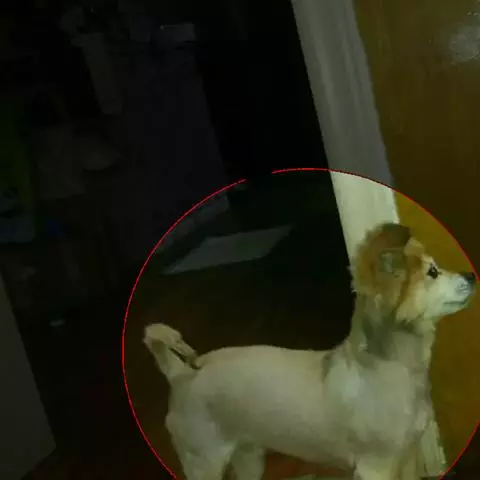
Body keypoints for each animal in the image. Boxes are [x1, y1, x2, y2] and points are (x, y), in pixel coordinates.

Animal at [143, 223, 476, 480]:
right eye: (433, 272)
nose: (471, 275)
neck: (389, 367)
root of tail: (180, 375)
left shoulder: (405, 458)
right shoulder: (375, 467)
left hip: (248, 456)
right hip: (204, 462)